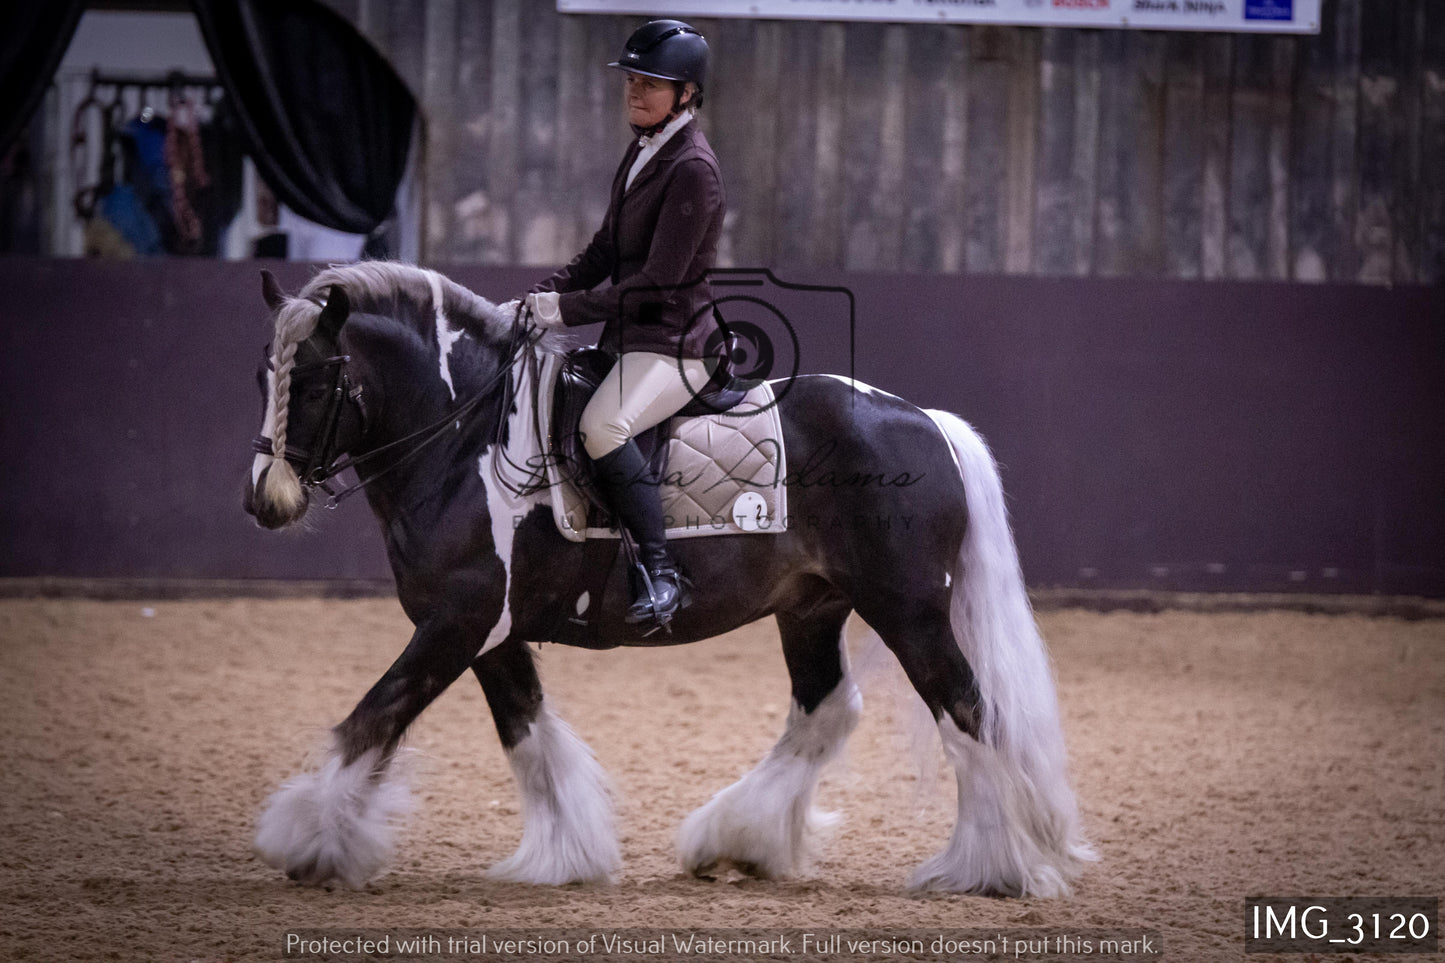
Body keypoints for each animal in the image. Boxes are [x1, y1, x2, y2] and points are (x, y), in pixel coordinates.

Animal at [239, 260, 1092, 890]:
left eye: (314, 379)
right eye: (262, 377)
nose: (264, 501)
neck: (466, 441)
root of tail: (927, 423)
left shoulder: (457, 620)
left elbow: (373, 716)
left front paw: (309, 838)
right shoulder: (489, 631)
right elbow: (526, 734)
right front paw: (566, 854)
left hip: (907, 611)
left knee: (966, 708)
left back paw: (989, 868)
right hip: (811, 607)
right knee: (826, 709)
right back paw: (739, 839)